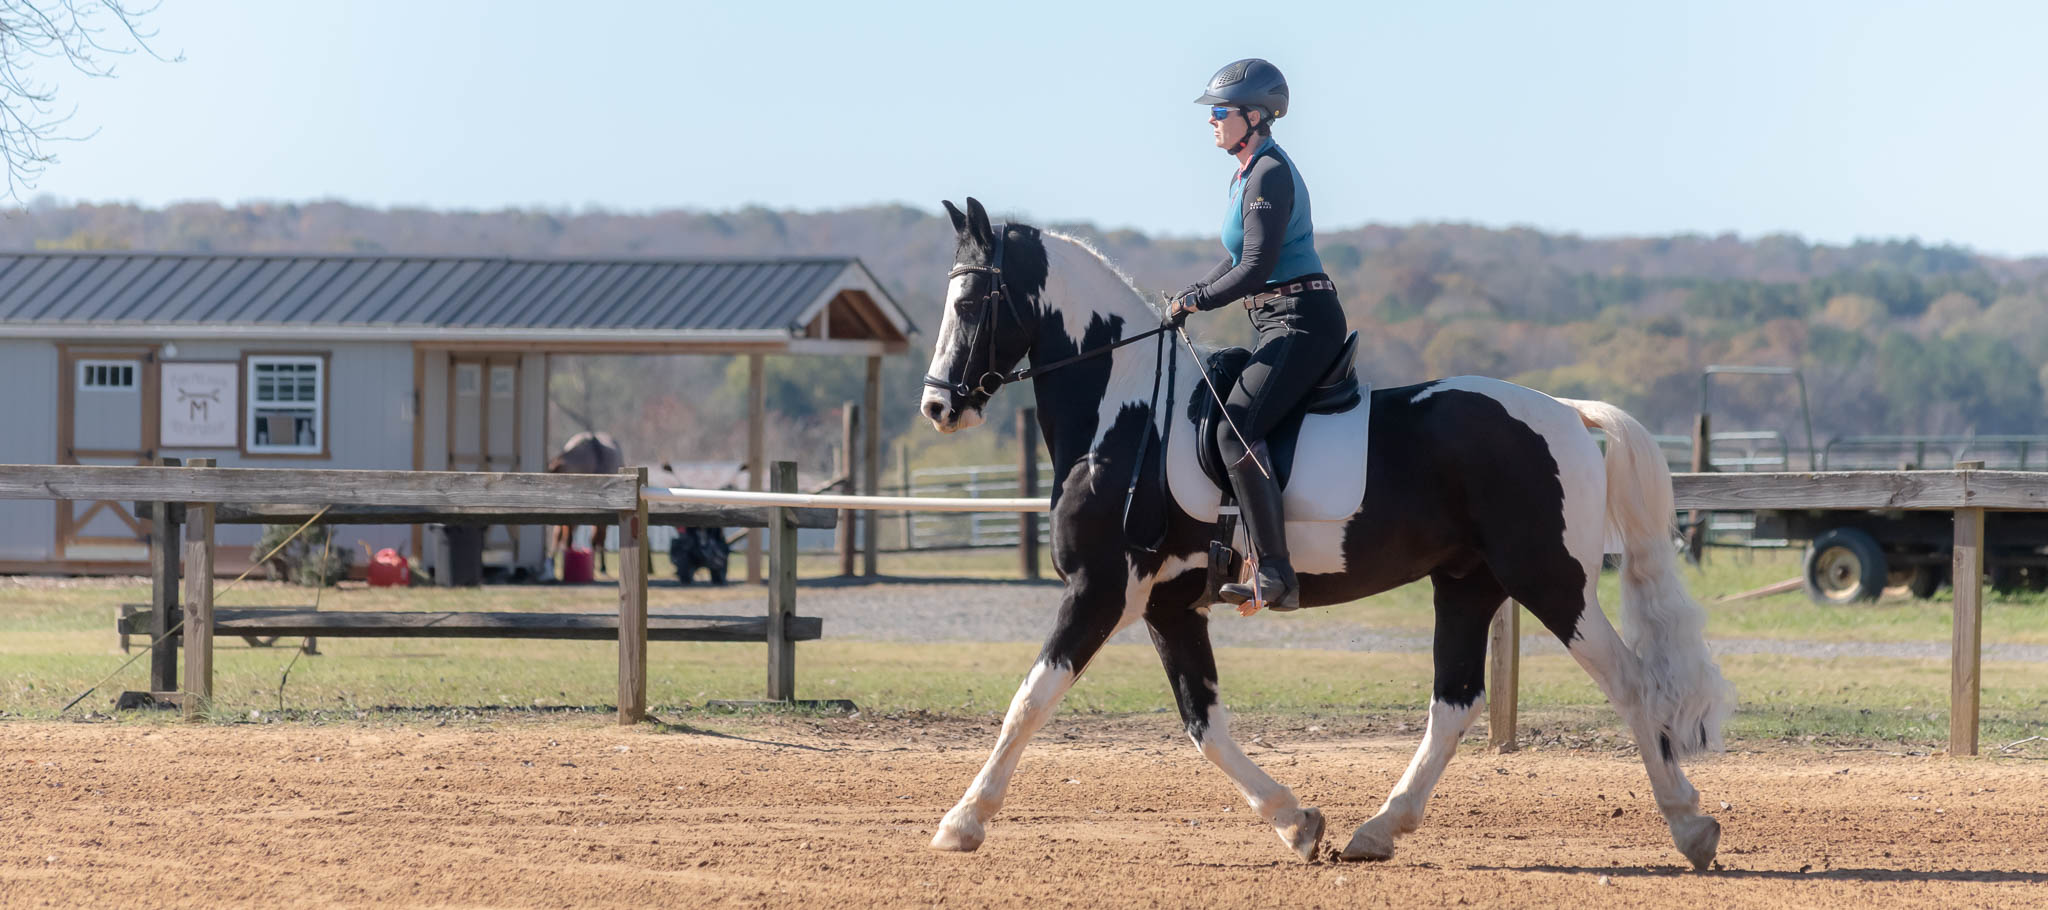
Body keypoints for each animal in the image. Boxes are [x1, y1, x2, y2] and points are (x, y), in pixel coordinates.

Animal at [921, 197, 1736, 869]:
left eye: (969, 300)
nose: (937, 407)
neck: (1128, 419)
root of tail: (1565, 411)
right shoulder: (1168, 606)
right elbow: (1203, 724)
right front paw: (1297, 822)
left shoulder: (1102, 591)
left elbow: (1030, 698)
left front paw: (962, 822)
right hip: (1468, 583)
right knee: (1455, 703)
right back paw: (1378, 830)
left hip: (1549, 579)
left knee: (1628, 681)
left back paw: (1690, 825)